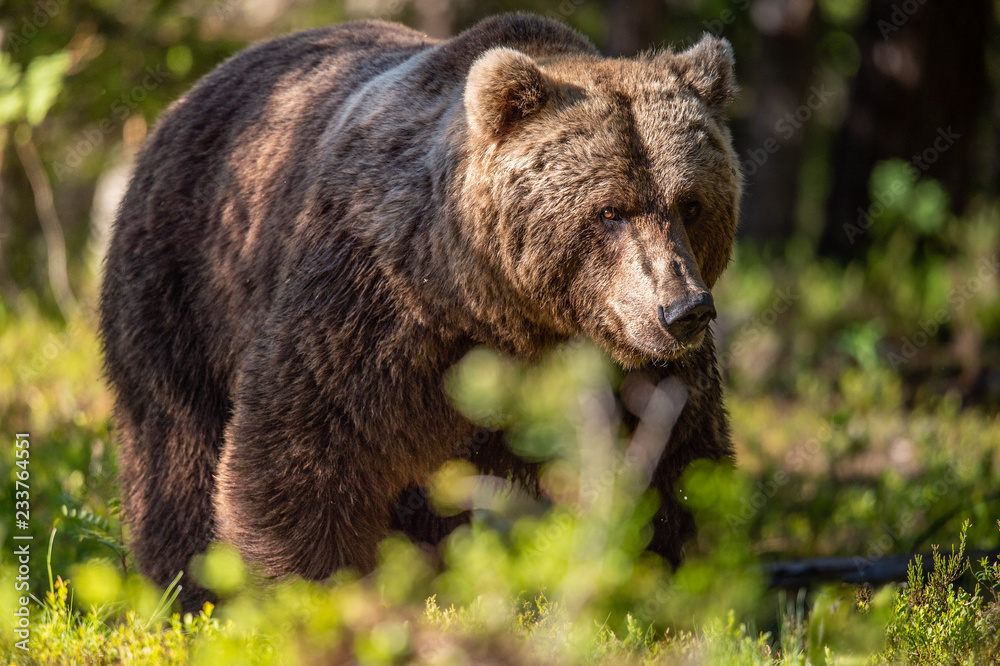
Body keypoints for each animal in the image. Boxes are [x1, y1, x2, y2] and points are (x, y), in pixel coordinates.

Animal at [99, 14, 744, 608]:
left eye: (690, 204)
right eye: (610, 210)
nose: (684, 310)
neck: (499, 309)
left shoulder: (633, 365)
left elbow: (674, 468)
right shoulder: (373, 305)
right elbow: (302, 453)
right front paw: (306, 596)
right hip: (183, 290)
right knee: (176, 451)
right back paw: (188, 587)